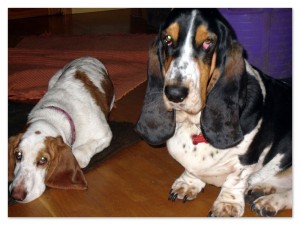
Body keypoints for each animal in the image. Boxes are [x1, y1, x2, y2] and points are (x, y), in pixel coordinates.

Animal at [8, 56, 115, 204]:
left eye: (43, 160)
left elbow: (79, 153)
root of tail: (87, 57)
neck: (54, 114)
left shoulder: (105, 134)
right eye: (18, 155)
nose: (16, 195)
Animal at [137, 8, 292, 216]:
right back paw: (263, 190)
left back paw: (269, 202)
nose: (175, 94)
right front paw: (188, 183)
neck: (194, 127)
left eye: (208, 43)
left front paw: (227, 205)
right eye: (167, 39)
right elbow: (192, 169)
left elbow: (235, 179)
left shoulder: (245, 161)